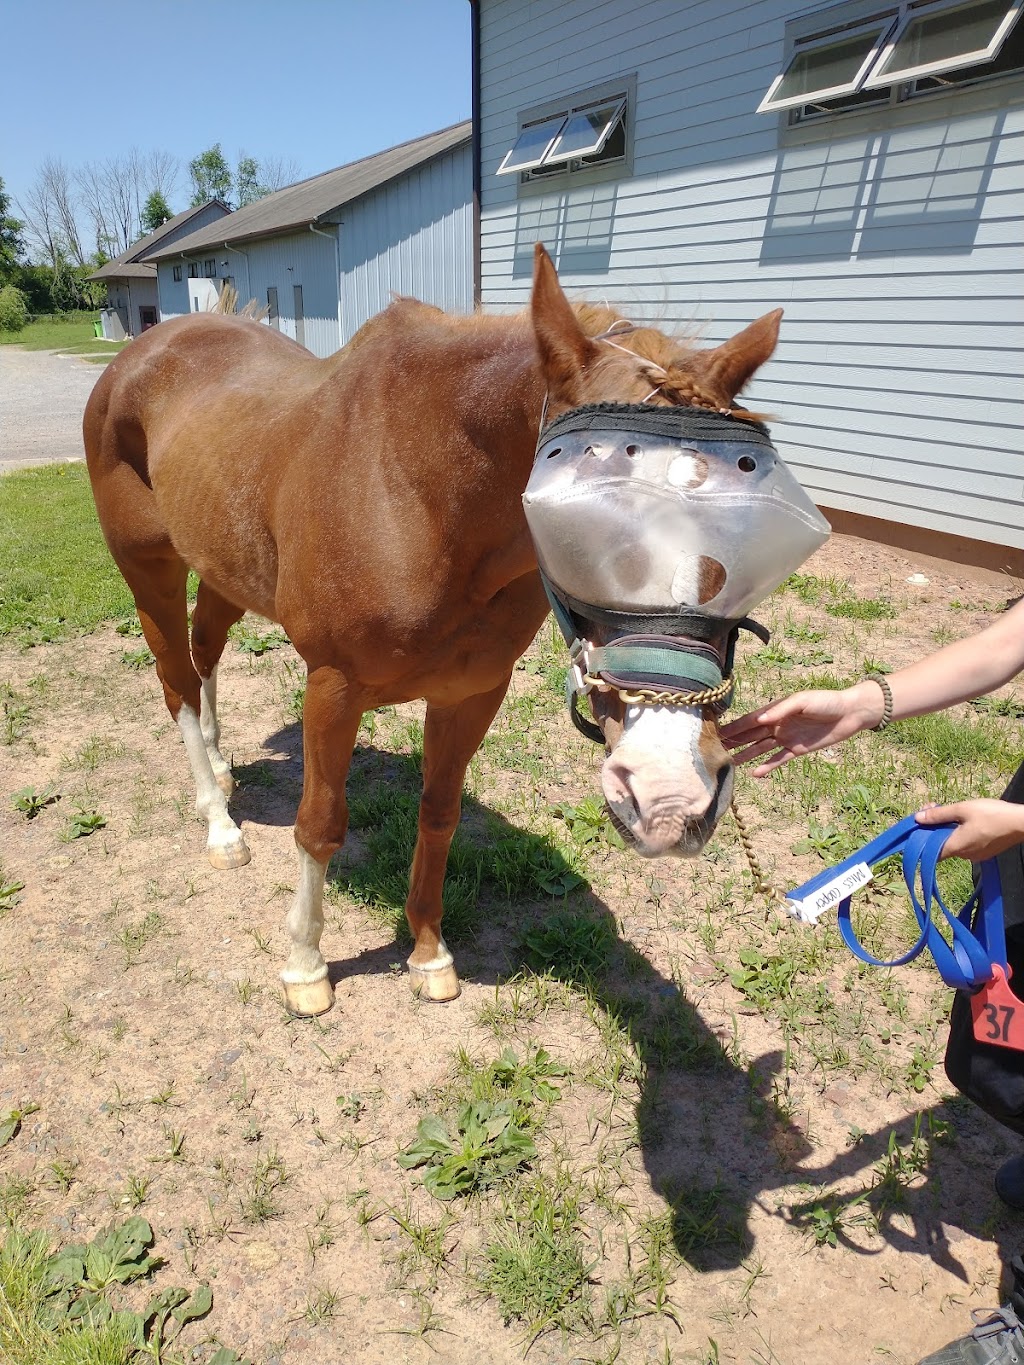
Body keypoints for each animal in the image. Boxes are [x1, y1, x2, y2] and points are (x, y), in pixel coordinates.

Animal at [84, 245, 780, 1015]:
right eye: (579, 524)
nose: (671, 793)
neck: (418, 492)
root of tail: (145, 351)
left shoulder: (470, 694)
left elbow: (439, 813)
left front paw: (427, 951)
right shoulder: (333, 687)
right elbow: (320, 823)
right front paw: (306, 965)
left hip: (222, 567)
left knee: (205, 654)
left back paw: (221, 764)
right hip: (148, 567)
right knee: (176, 680)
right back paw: (218, 821)